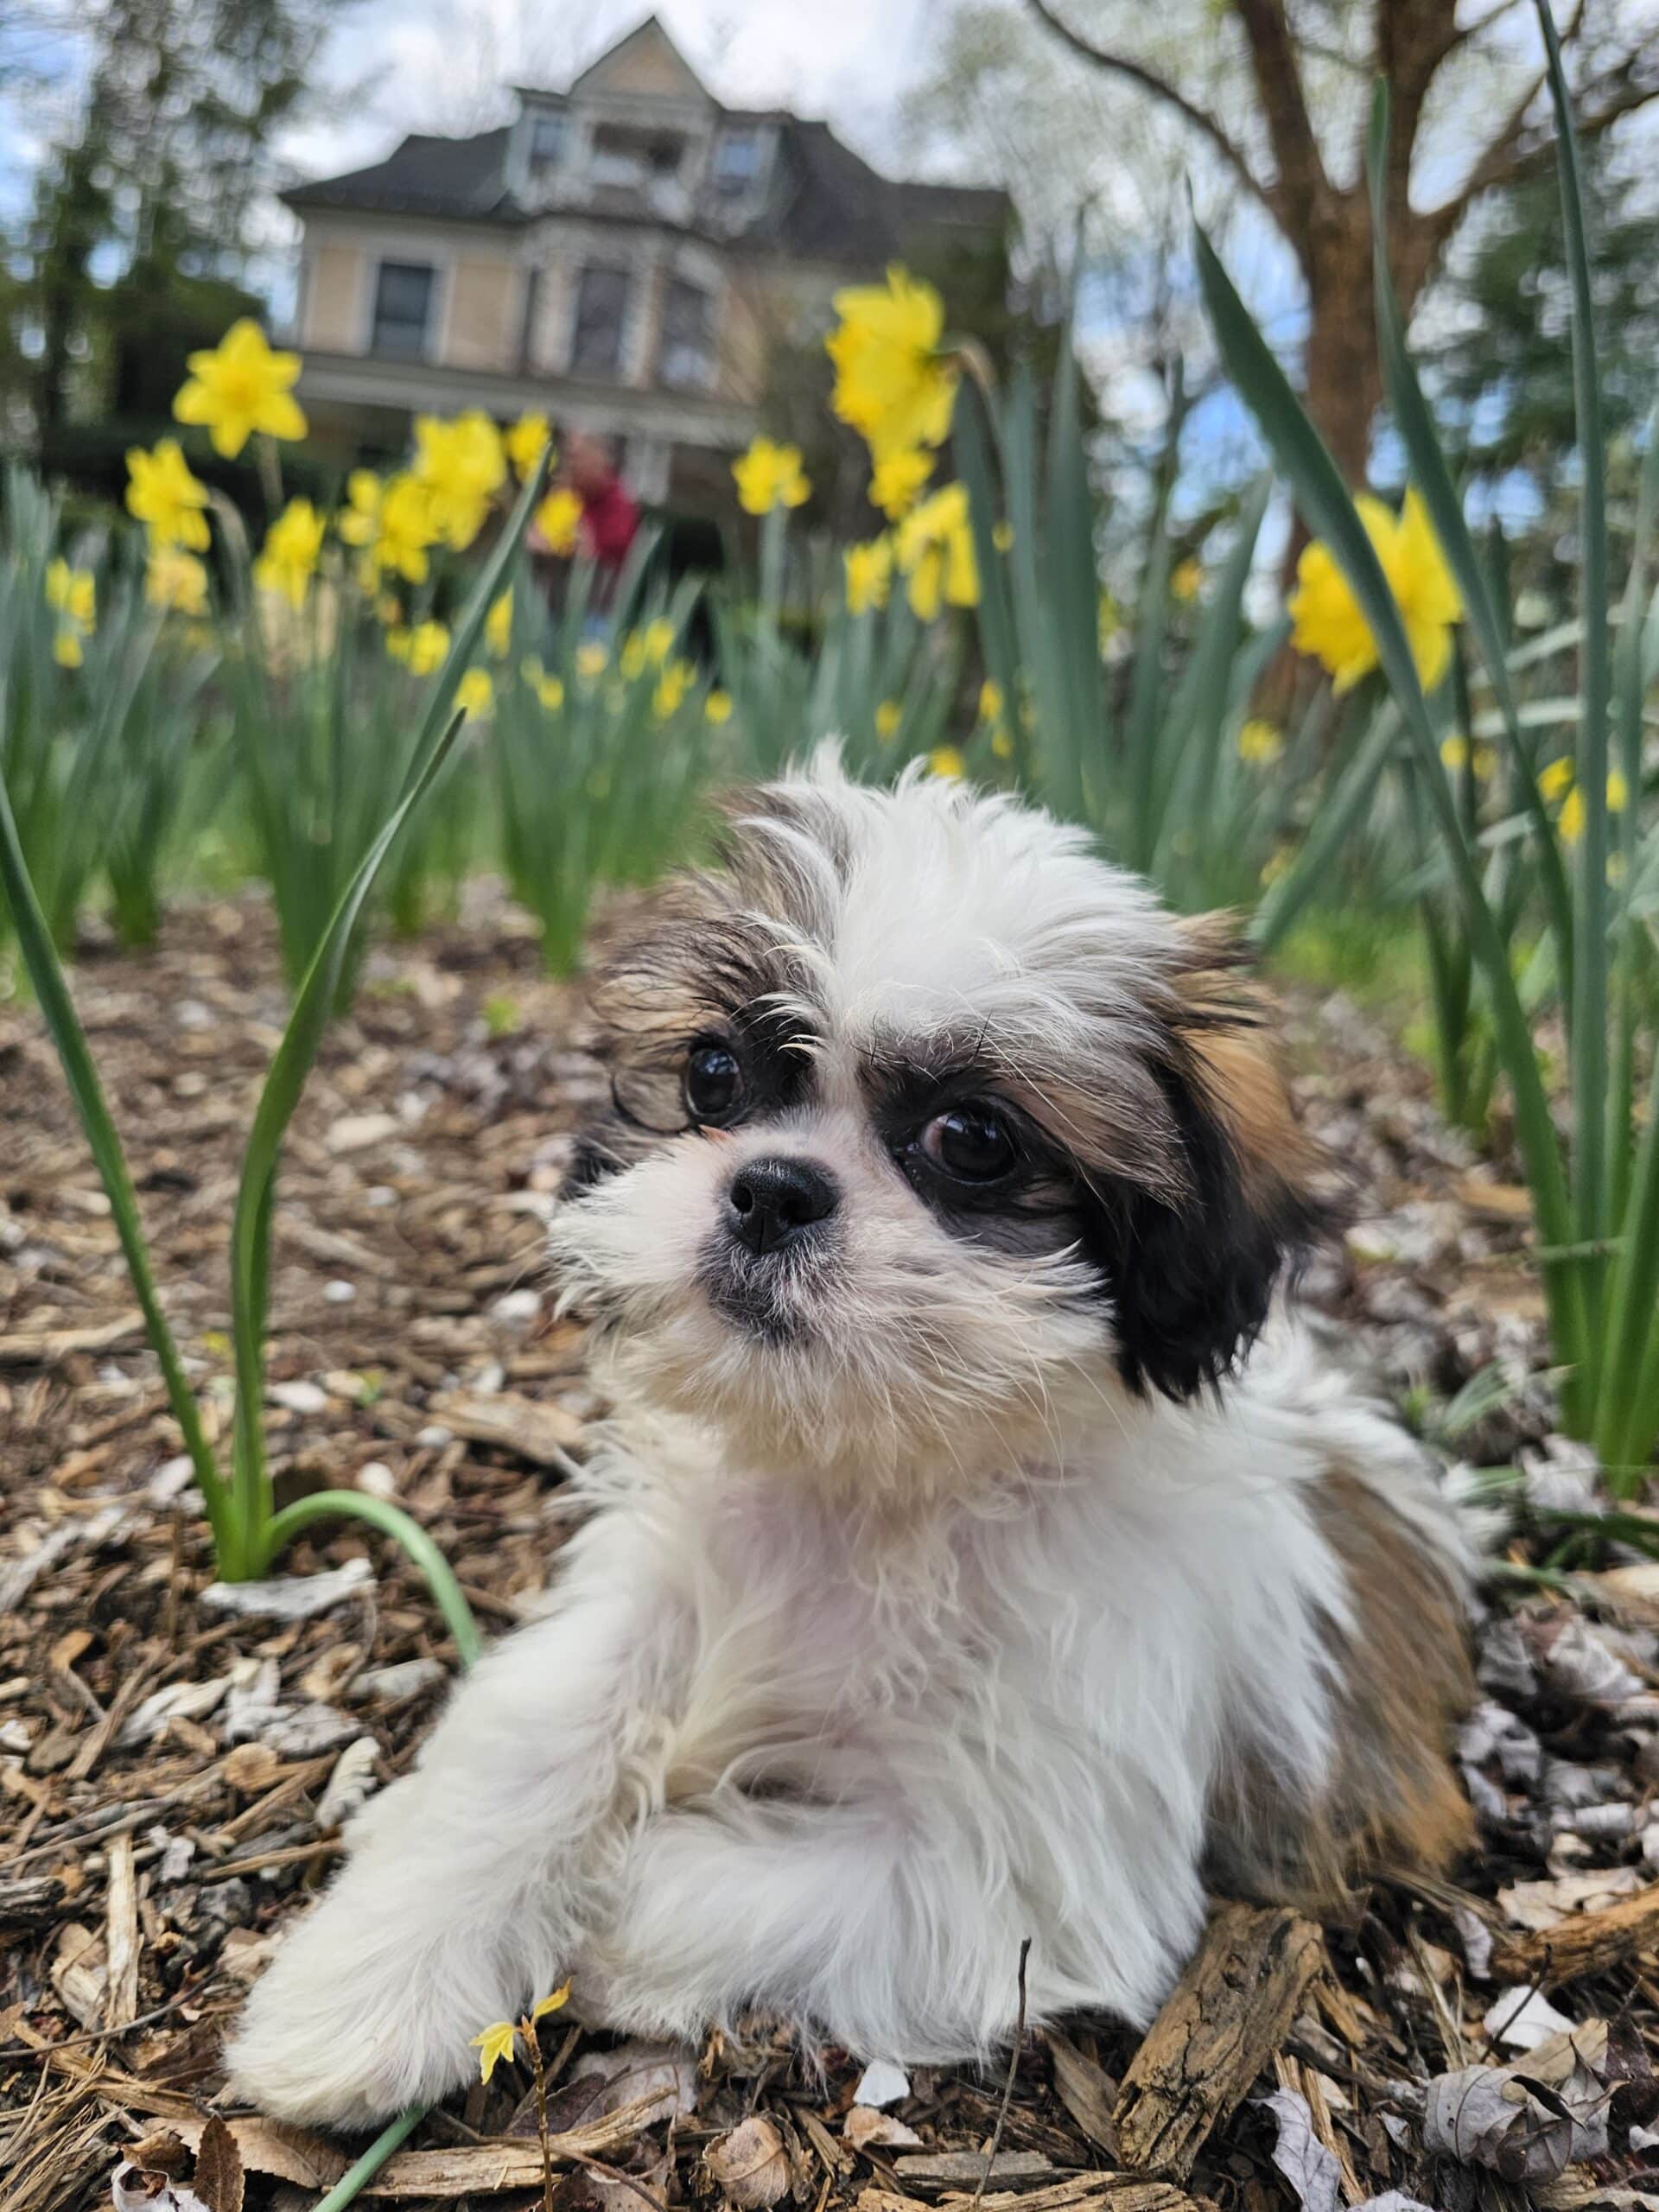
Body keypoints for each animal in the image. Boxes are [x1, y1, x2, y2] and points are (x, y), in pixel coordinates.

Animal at [227, 756, 1478, 2123]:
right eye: (715, 1077)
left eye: (974, 1140)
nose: (772, 1188)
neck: (878, 1478)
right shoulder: (651, 1590)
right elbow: (532, 1737)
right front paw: (369, 1980)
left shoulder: (1024, 1862)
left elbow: (768, 1881)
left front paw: (607, 1934)